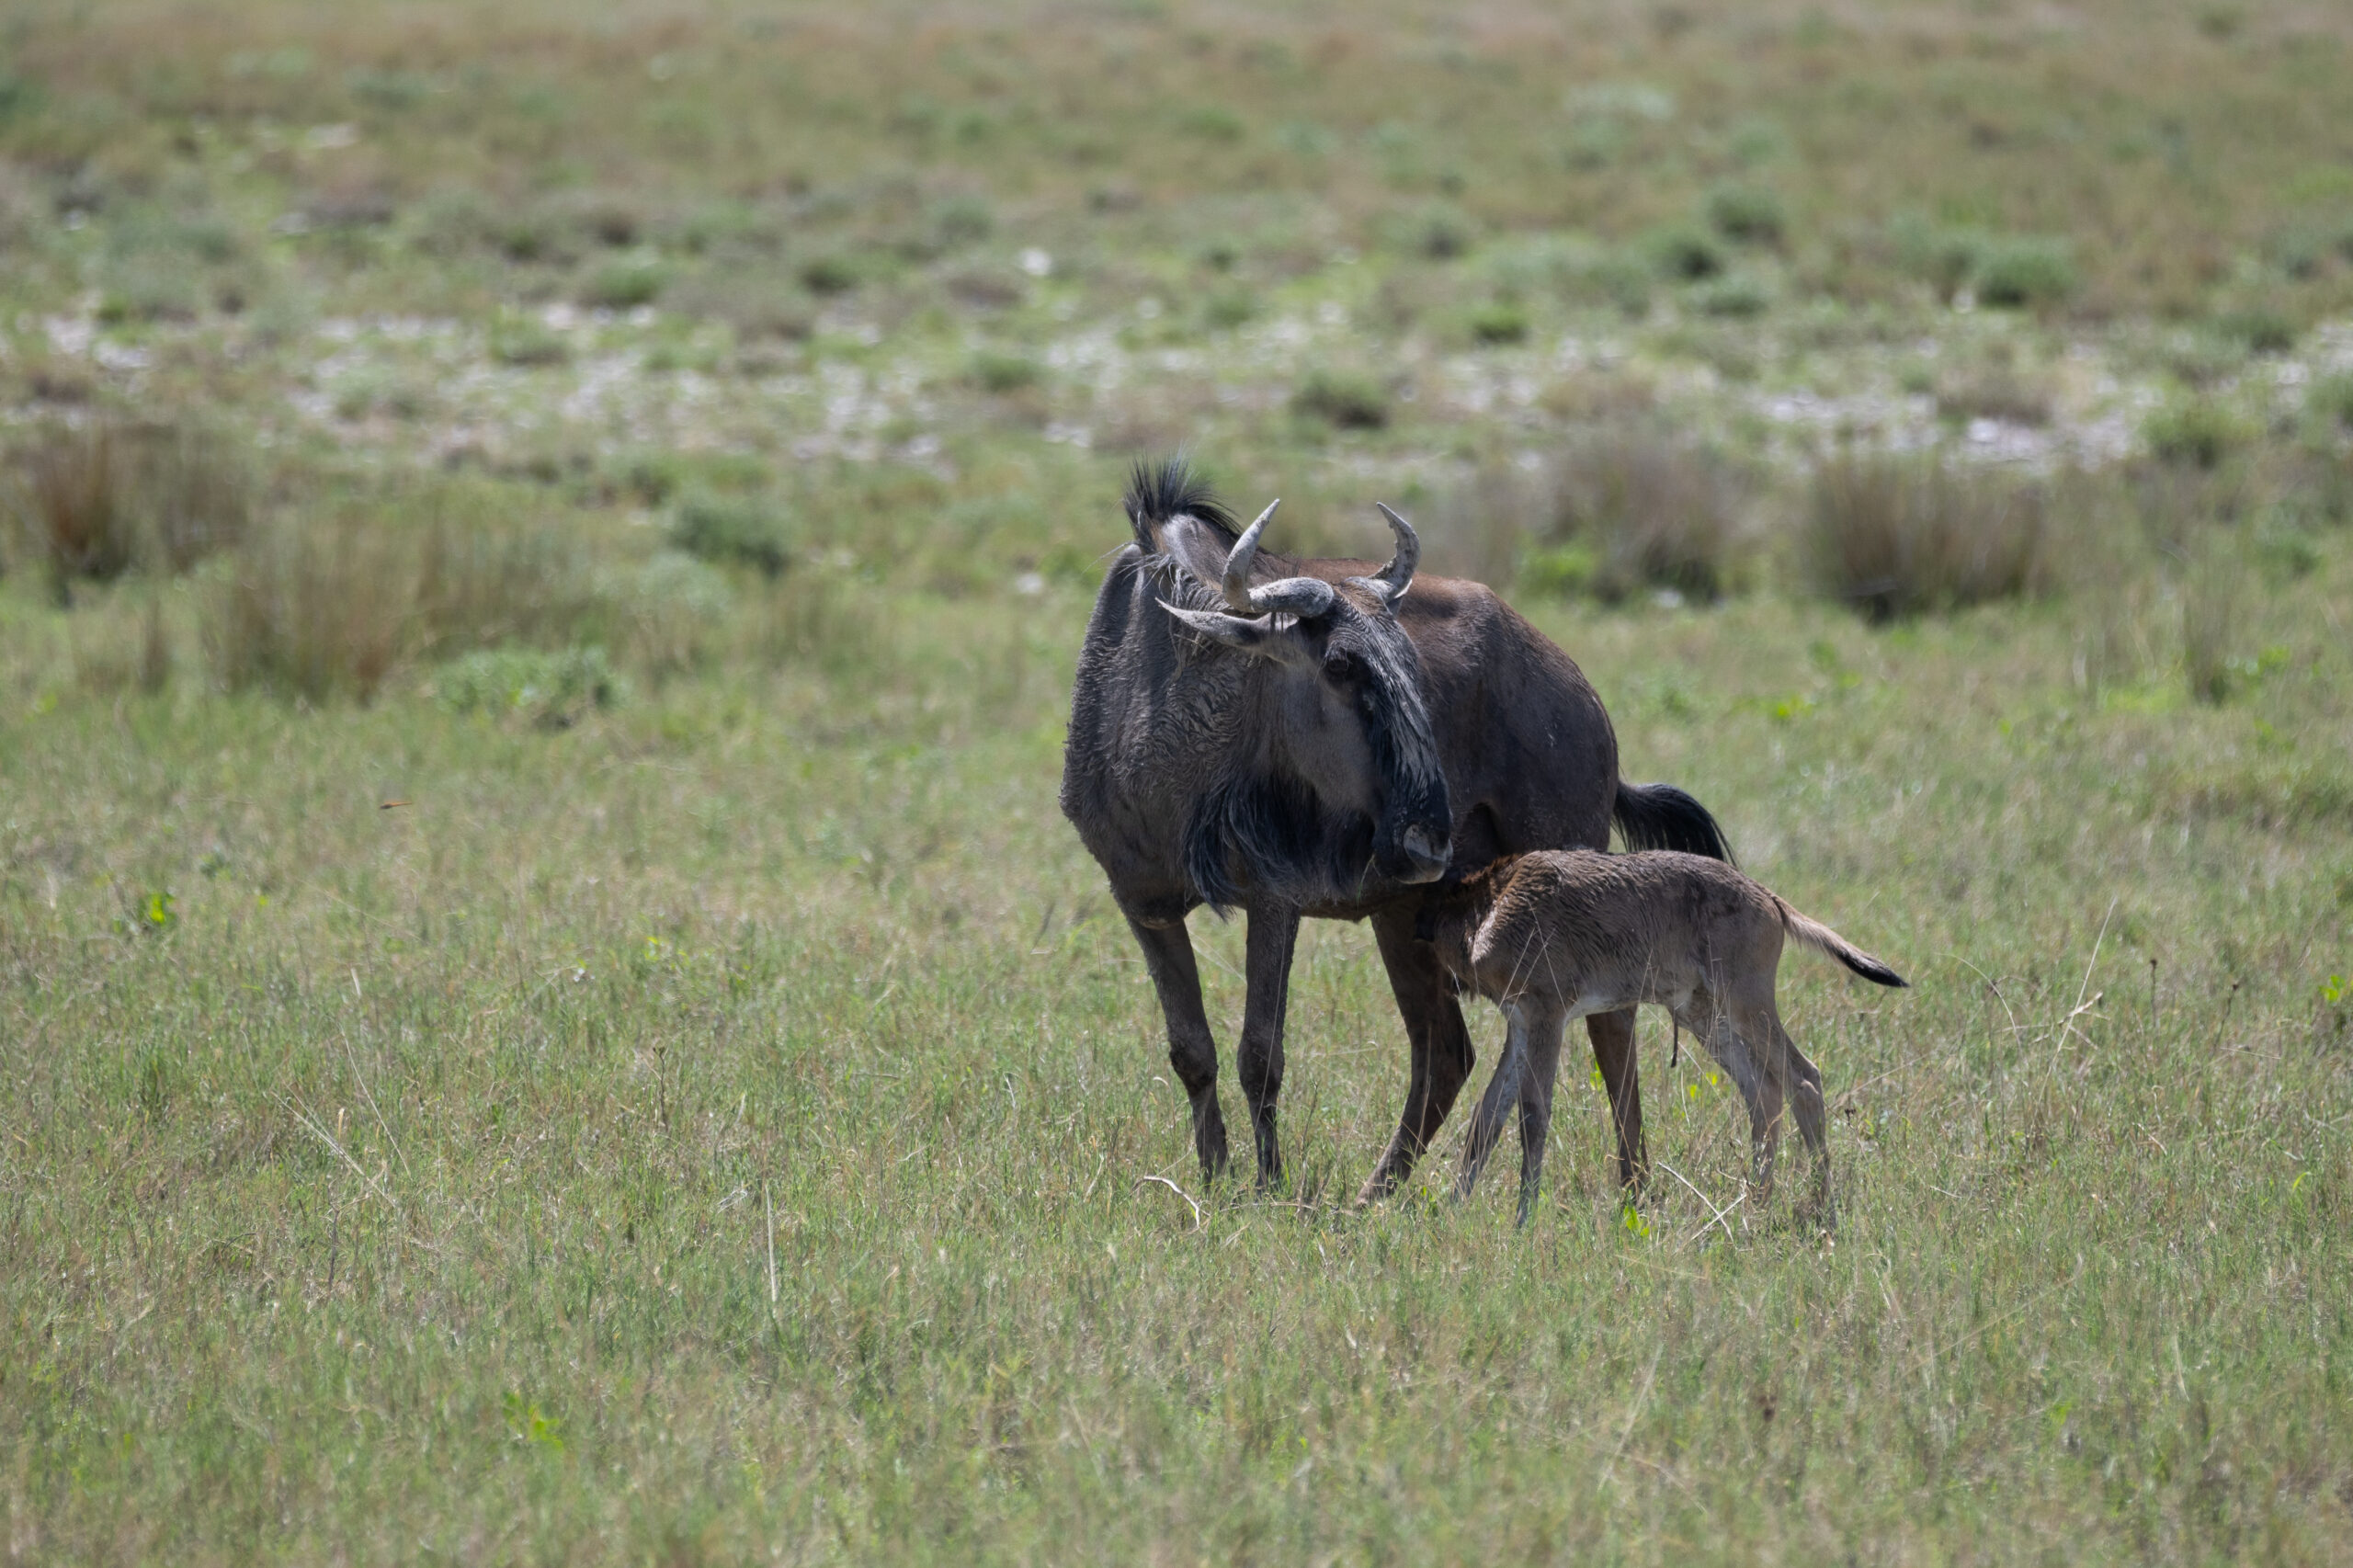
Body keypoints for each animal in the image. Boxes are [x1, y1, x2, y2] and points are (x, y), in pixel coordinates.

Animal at [1412, 843, 1910, 1224]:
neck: (1491, 908)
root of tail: (1771, 901)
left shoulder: (1547, 1016)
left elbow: (1533, 1116)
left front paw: (1522, 1223)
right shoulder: (1519, 1024)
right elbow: (1486, 1117)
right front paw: (1452, 1214)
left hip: (1745, 1005)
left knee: (1805, 1078)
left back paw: (1823, 1213)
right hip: (1703, 1017)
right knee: (1764, 1091)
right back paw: (1755, 1207)